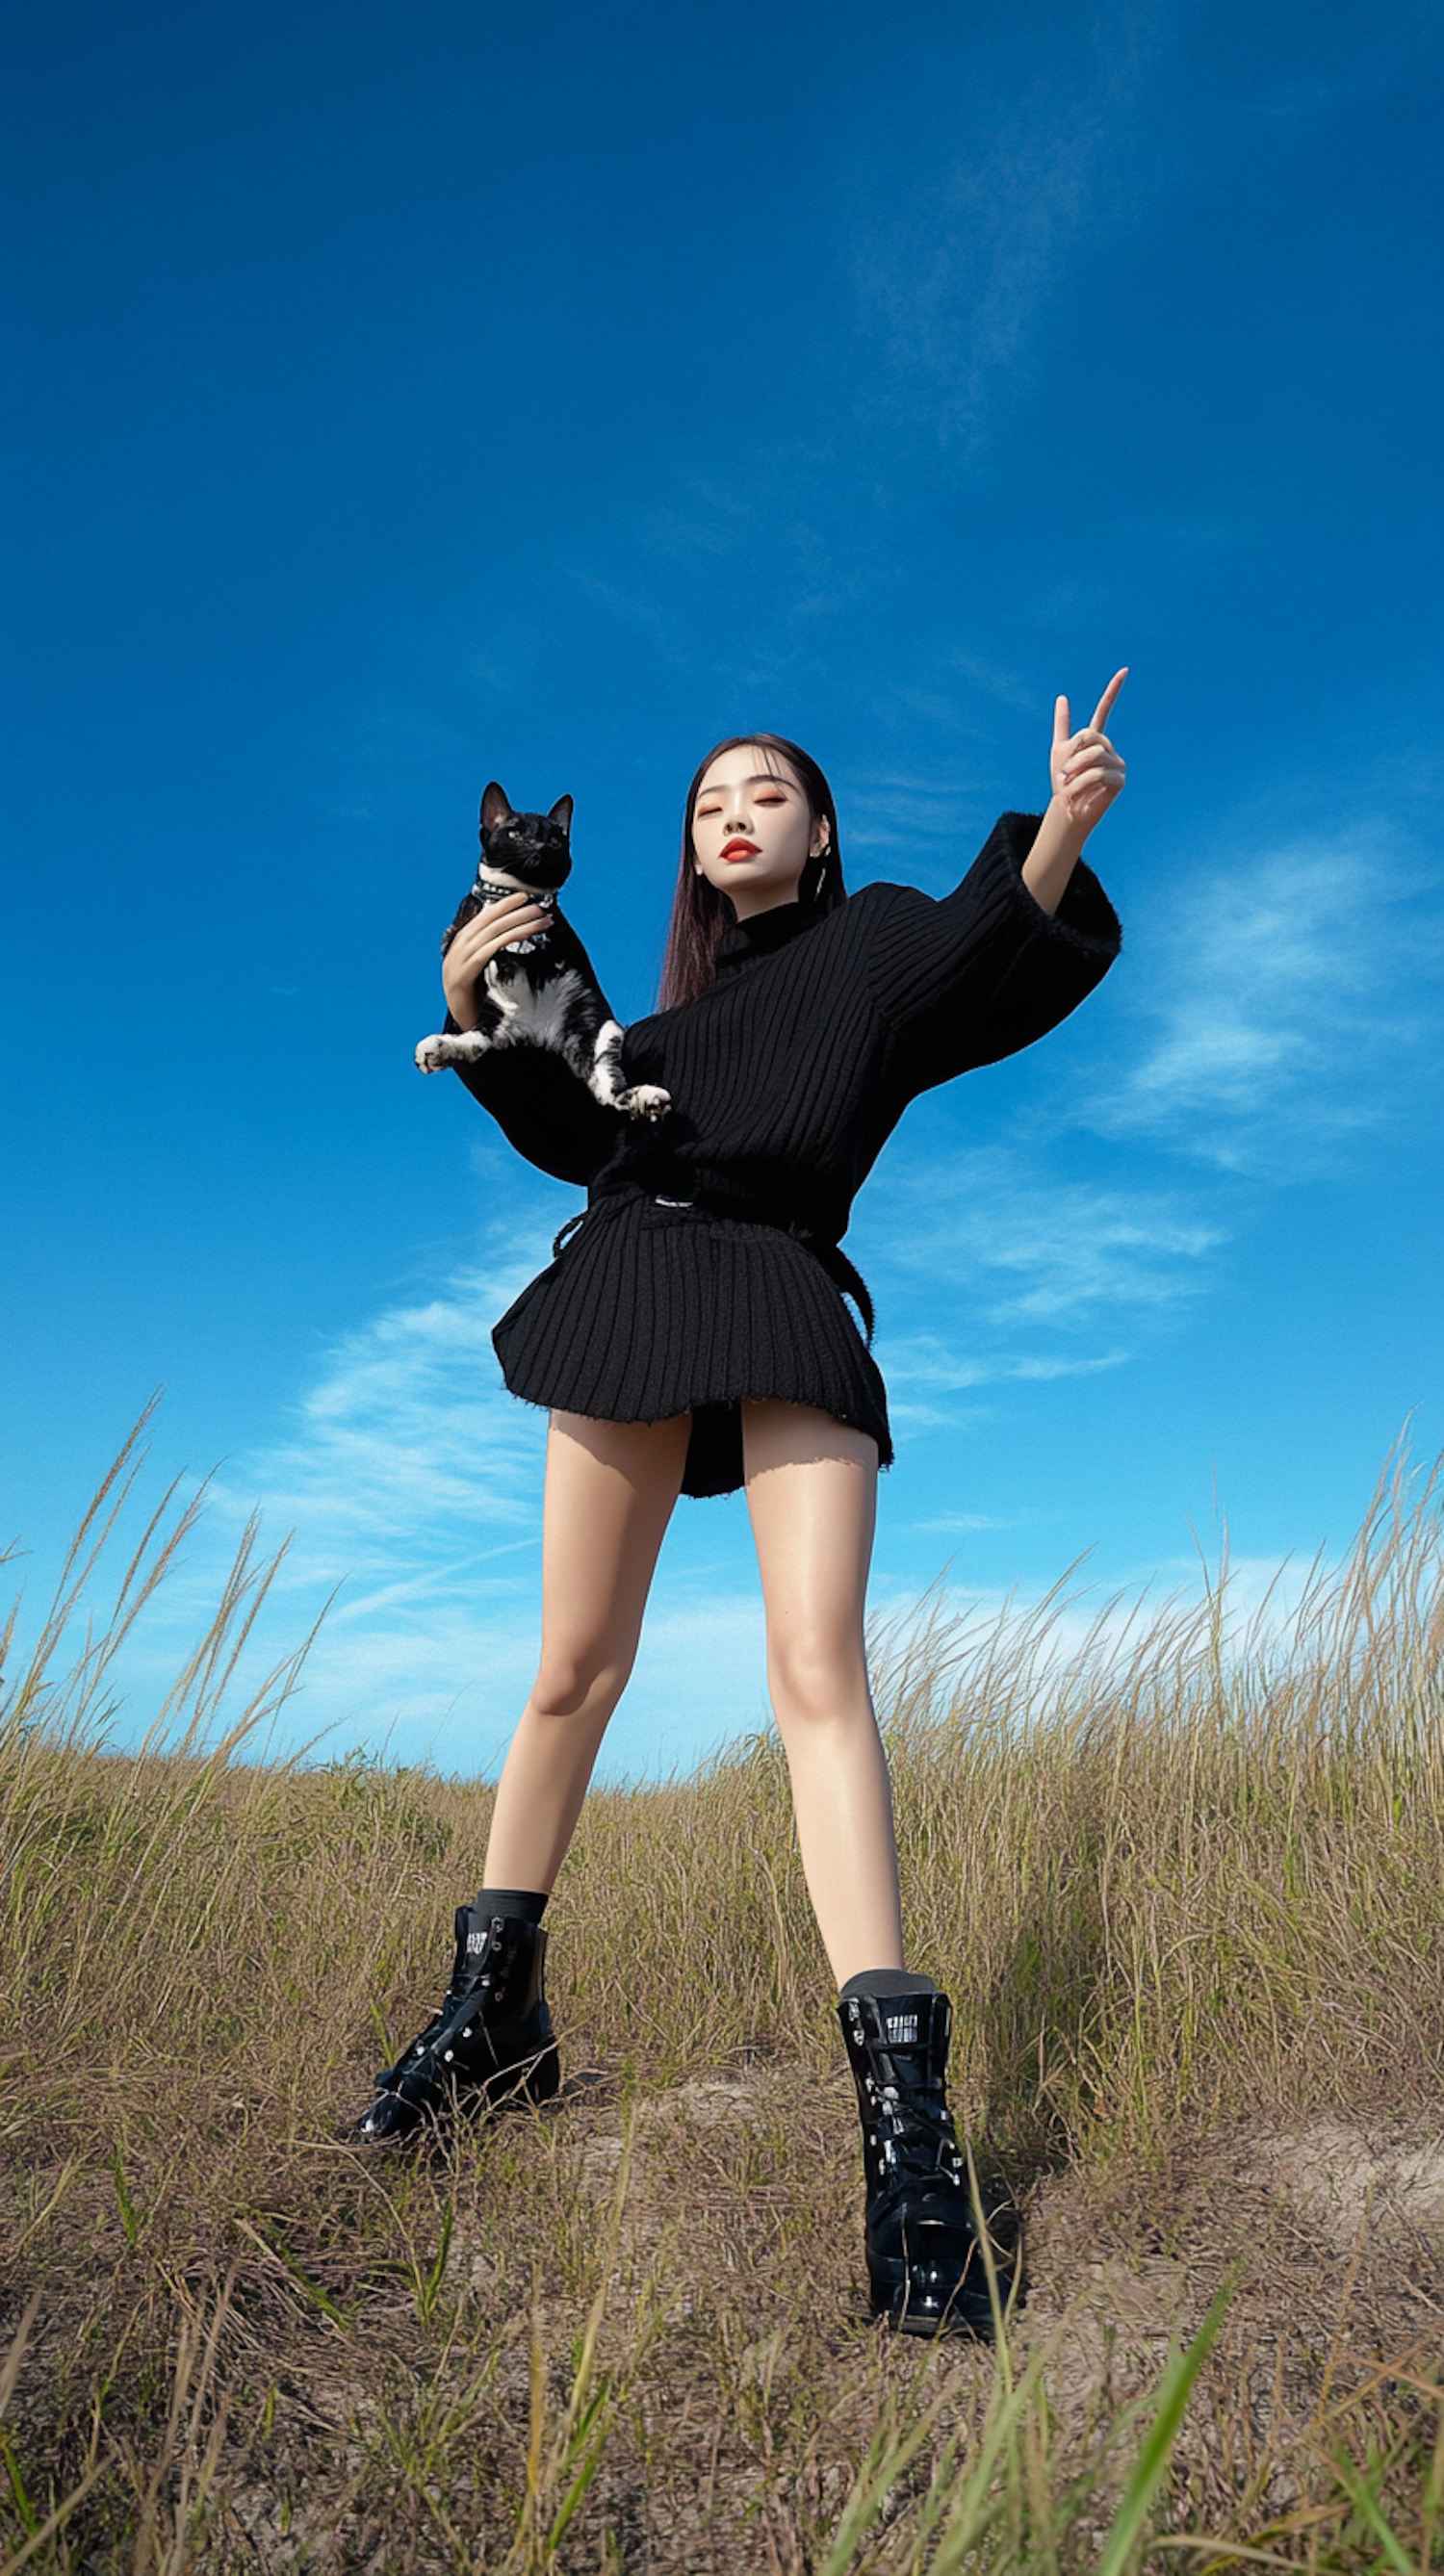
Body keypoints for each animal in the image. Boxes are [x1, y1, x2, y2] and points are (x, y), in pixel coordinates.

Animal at [411, 778, 669, 1113]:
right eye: (515, 832)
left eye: (556, 839)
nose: (541, 846)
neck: (516, 895)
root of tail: (540, 1033)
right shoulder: (462, 928)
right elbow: (458, 936)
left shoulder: (553, 927)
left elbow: (548, 933)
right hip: (498, 1018)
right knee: (478, 1042)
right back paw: (440, 1048)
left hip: (602, 1031)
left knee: (610, 1089)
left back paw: (644, 1098)